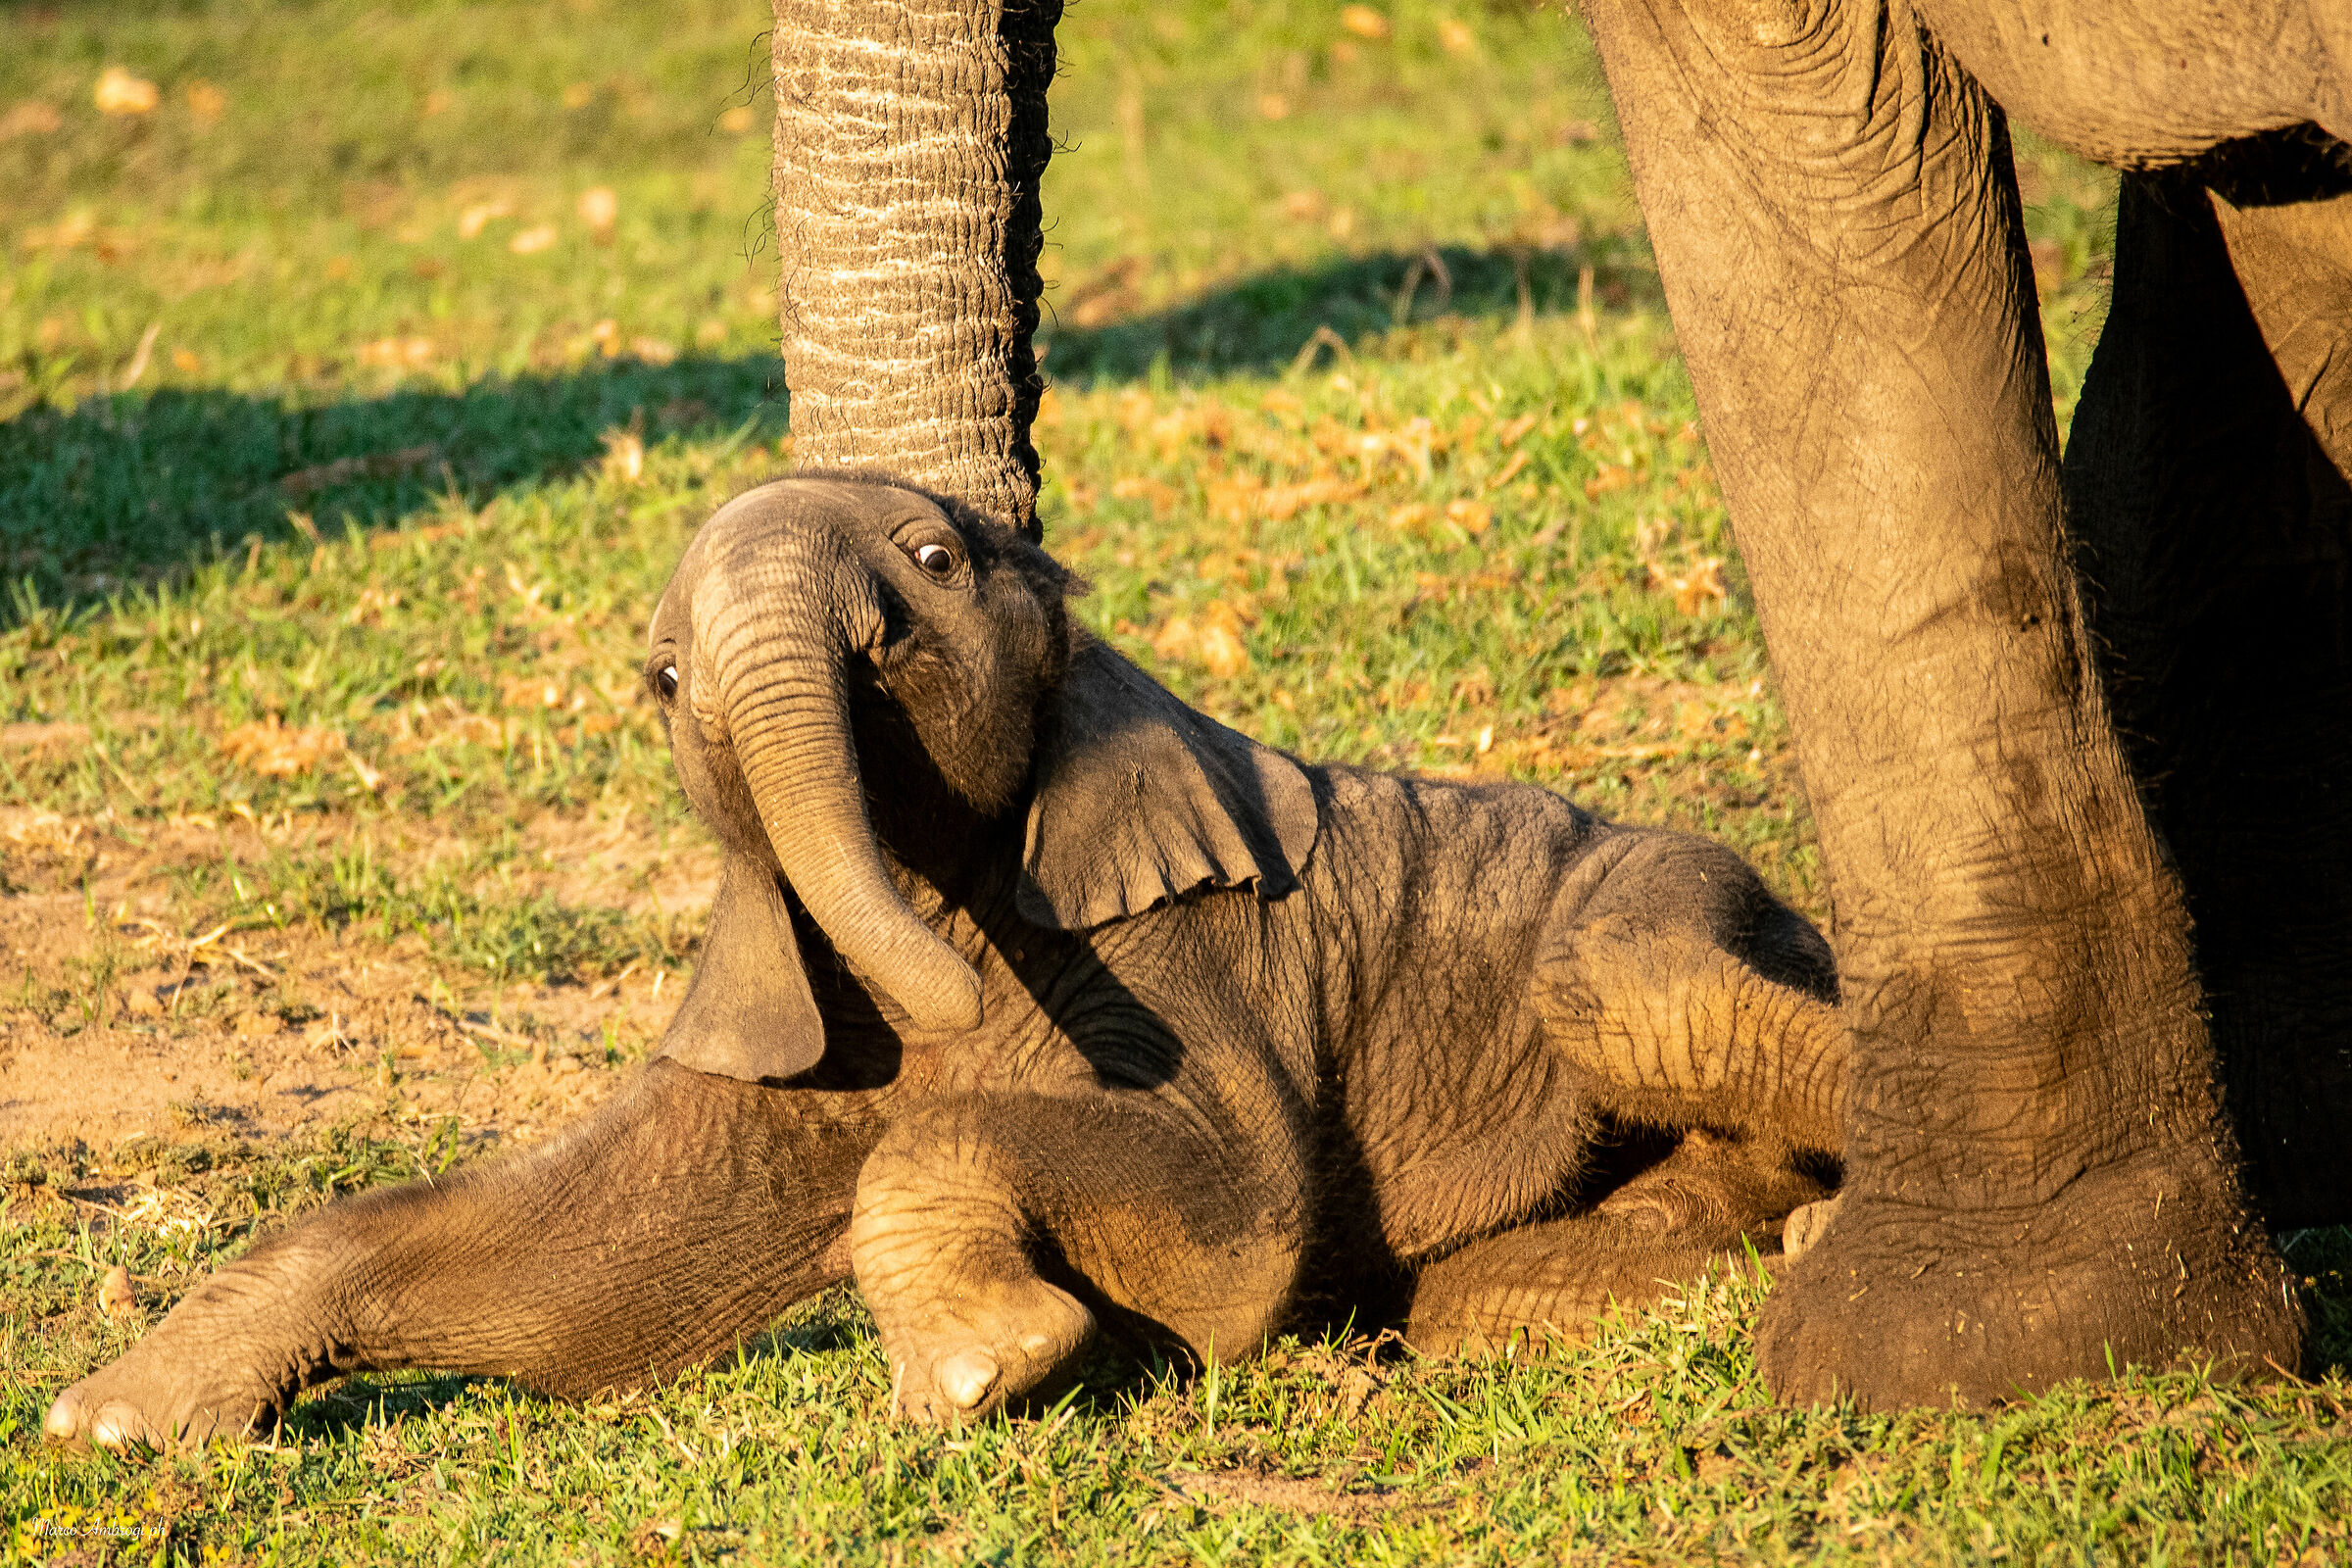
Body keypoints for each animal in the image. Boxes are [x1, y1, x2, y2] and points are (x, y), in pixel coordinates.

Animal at [45, 474, 1848, 1446]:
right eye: (665, 679)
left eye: (932, 564)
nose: (955, 992)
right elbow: (586, 1287)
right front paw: (109, 1424)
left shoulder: (1180, 949)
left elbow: (1233, 1221)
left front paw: (983, 1372)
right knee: (1495, 1296)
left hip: (1664, 891)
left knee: (1633, 995)